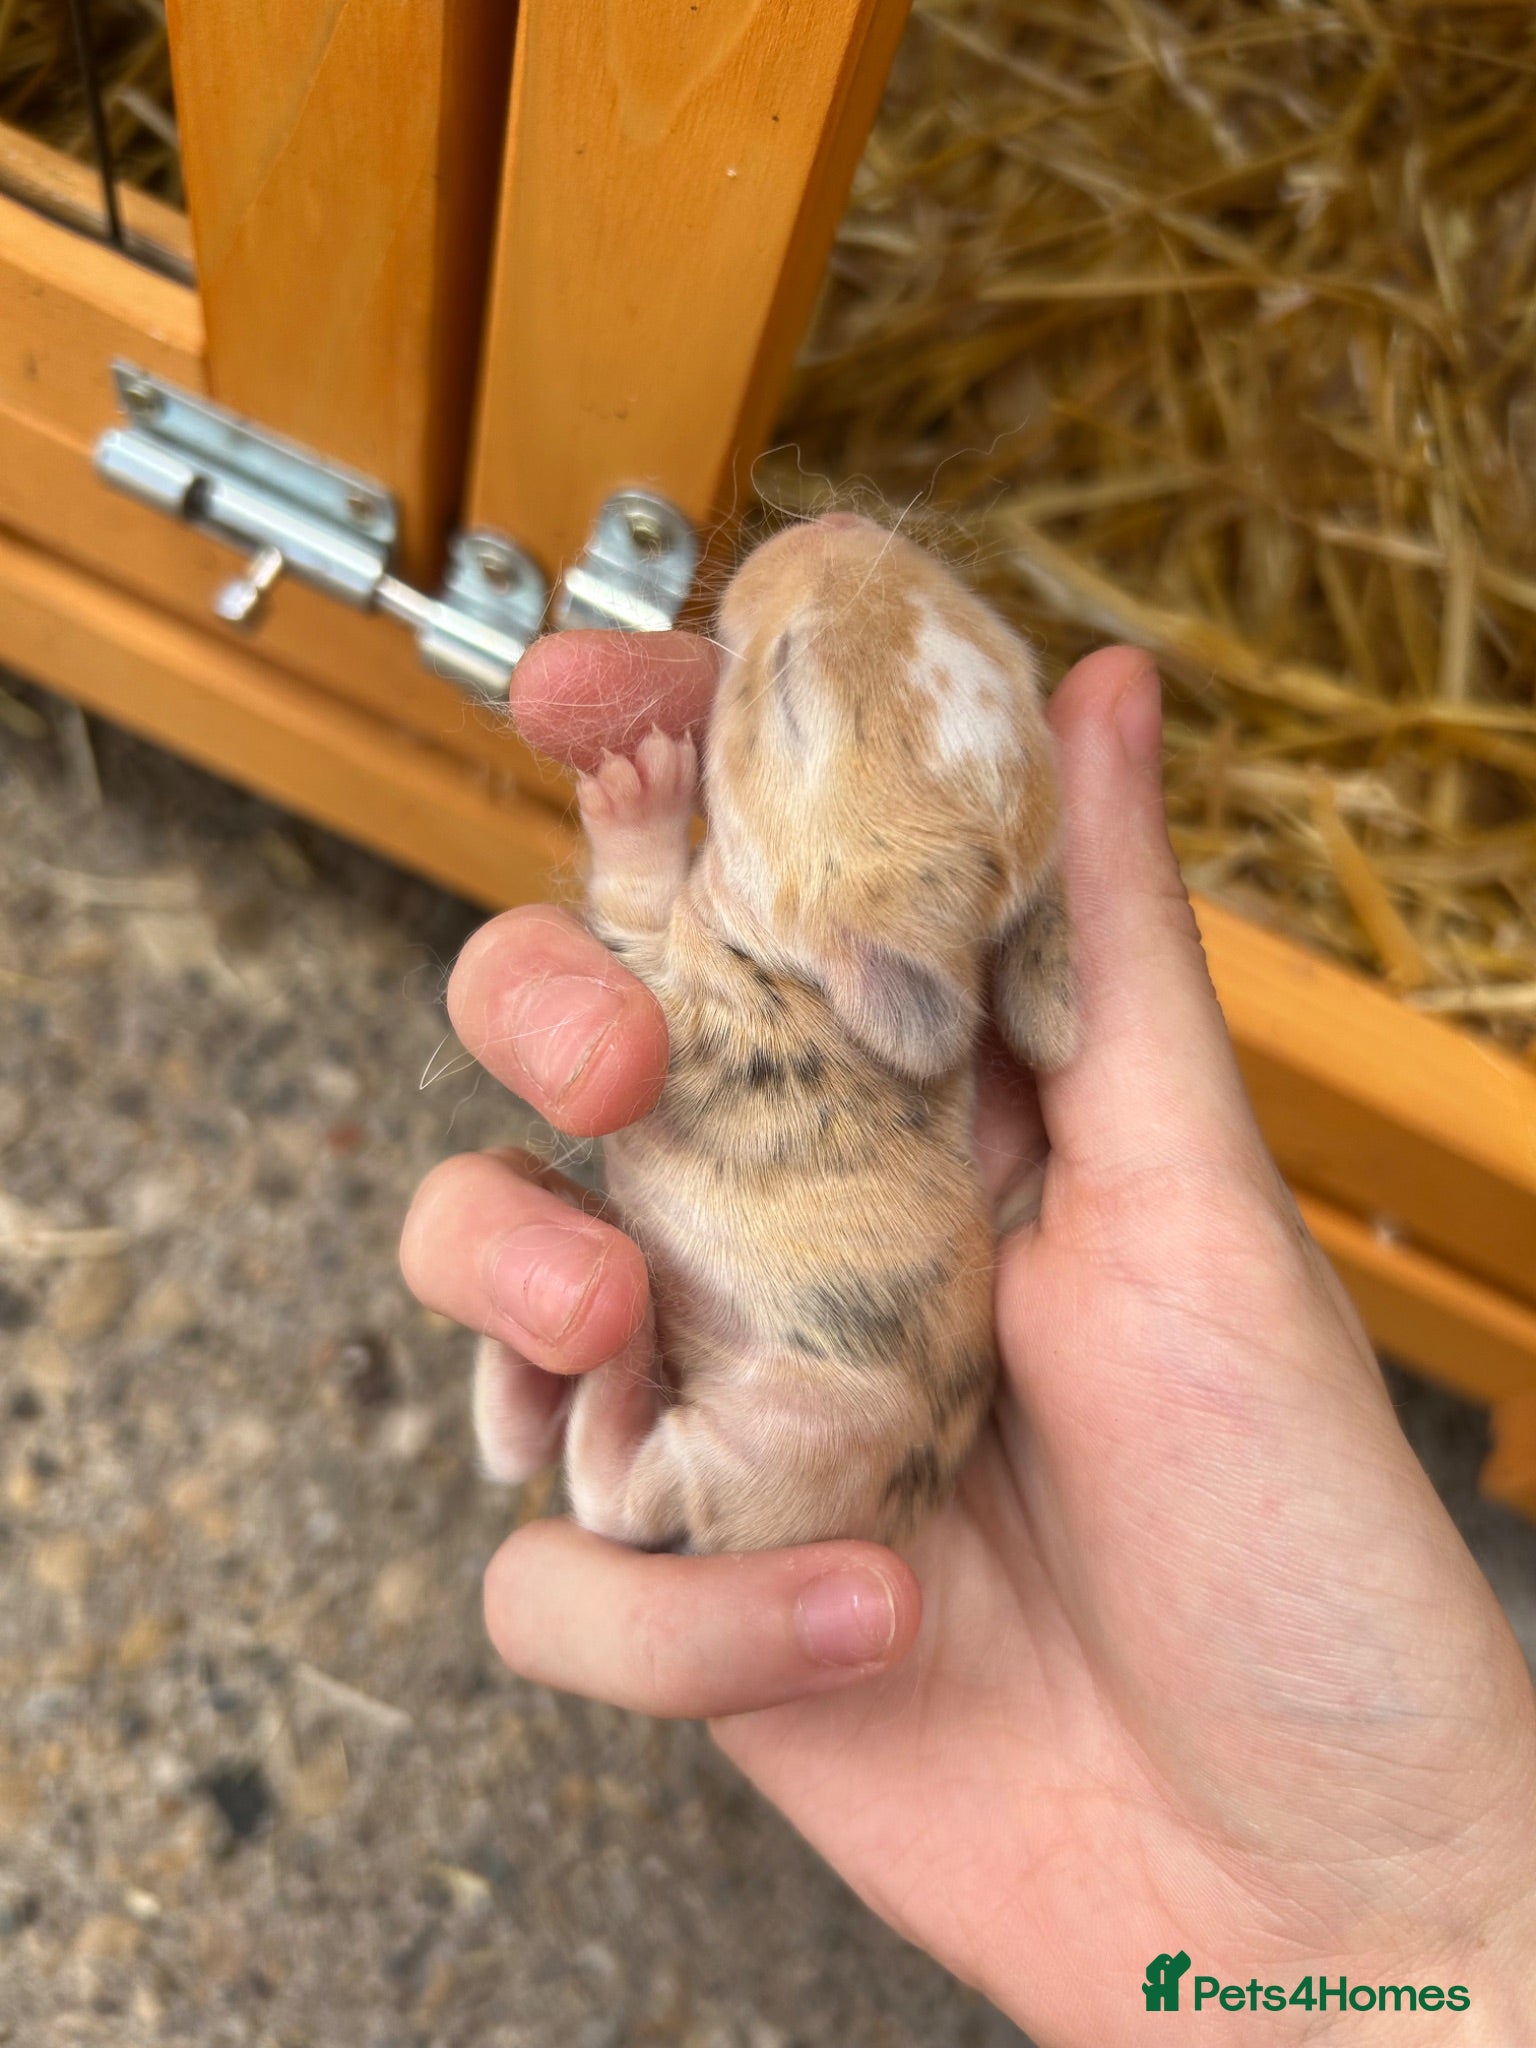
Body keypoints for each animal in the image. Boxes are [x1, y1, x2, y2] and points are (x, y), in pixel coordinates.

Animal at [474, 511, 1076, 1552]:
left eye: (789, 682)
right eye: (1004, 636)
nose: (833, 520)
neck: (801, 976)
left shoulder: (685, 1001)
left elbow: (633, 909)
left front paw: (642, 790)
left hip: (776, 1445)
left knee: (619, 1494)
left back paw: (616, 1356)